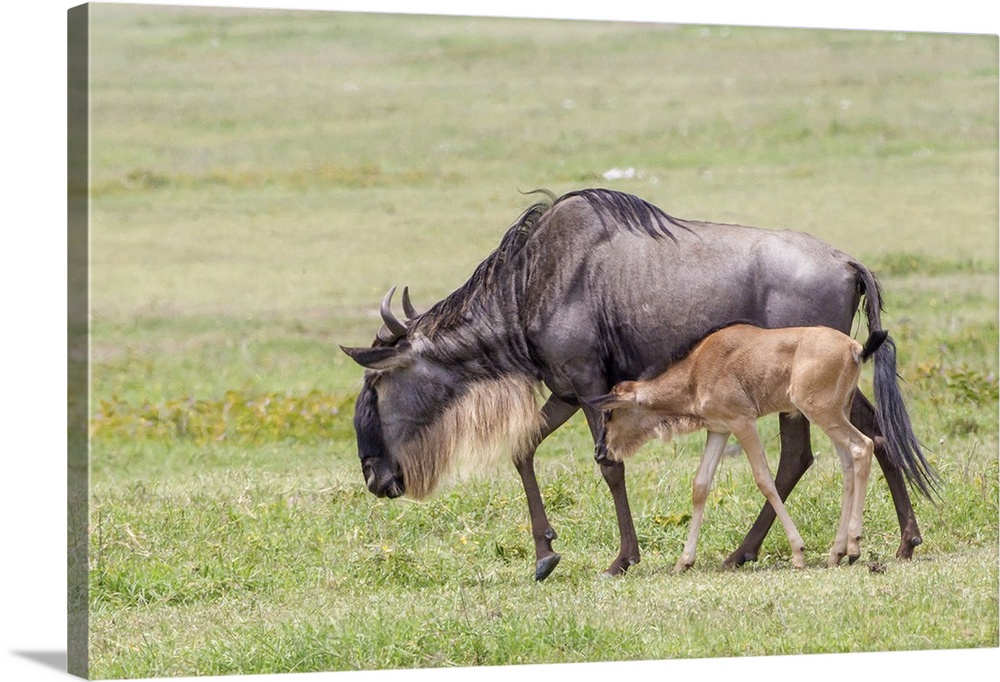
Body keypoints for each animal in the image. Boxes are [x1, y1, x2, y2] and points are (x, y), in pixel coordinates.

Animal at [588, 322, 888, 568]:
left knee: (863, 446)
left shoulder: (743, 422)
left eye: (610, 413)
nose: (600, 453)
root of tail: (854, 347)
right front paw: (684, 561)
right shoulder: (719, 429)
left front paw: (798, 551)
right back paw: (837, 552)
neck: (696, 371)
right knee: (848, 465)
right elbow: (700, 485)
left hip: (821, 412)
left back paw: (854, 545)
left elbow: (764, 479)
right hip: (835, 414)